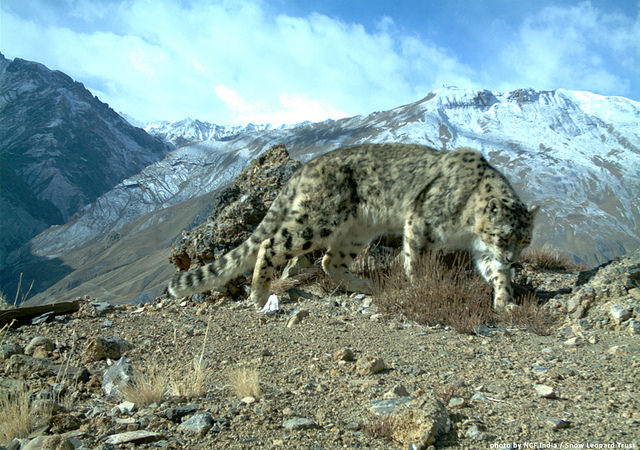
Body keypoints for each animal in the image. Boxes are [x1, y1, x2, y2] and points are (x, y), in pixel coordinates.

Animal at [169, 144, 536, 310]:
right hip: (316, 220)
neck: (470, 230)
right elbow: (416, 259)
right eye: (503, 235)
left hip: (357, 231)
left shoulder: (481, 250)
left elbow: (496, 274)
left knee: (330, 260)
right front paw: (421, 284)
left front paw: (506, 301)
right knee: (271, 244)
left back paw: (364, 285)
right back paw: (259, 295)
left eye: (524, 240)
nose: (511, 257)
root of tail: (308, 166)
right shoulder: (421, 223)